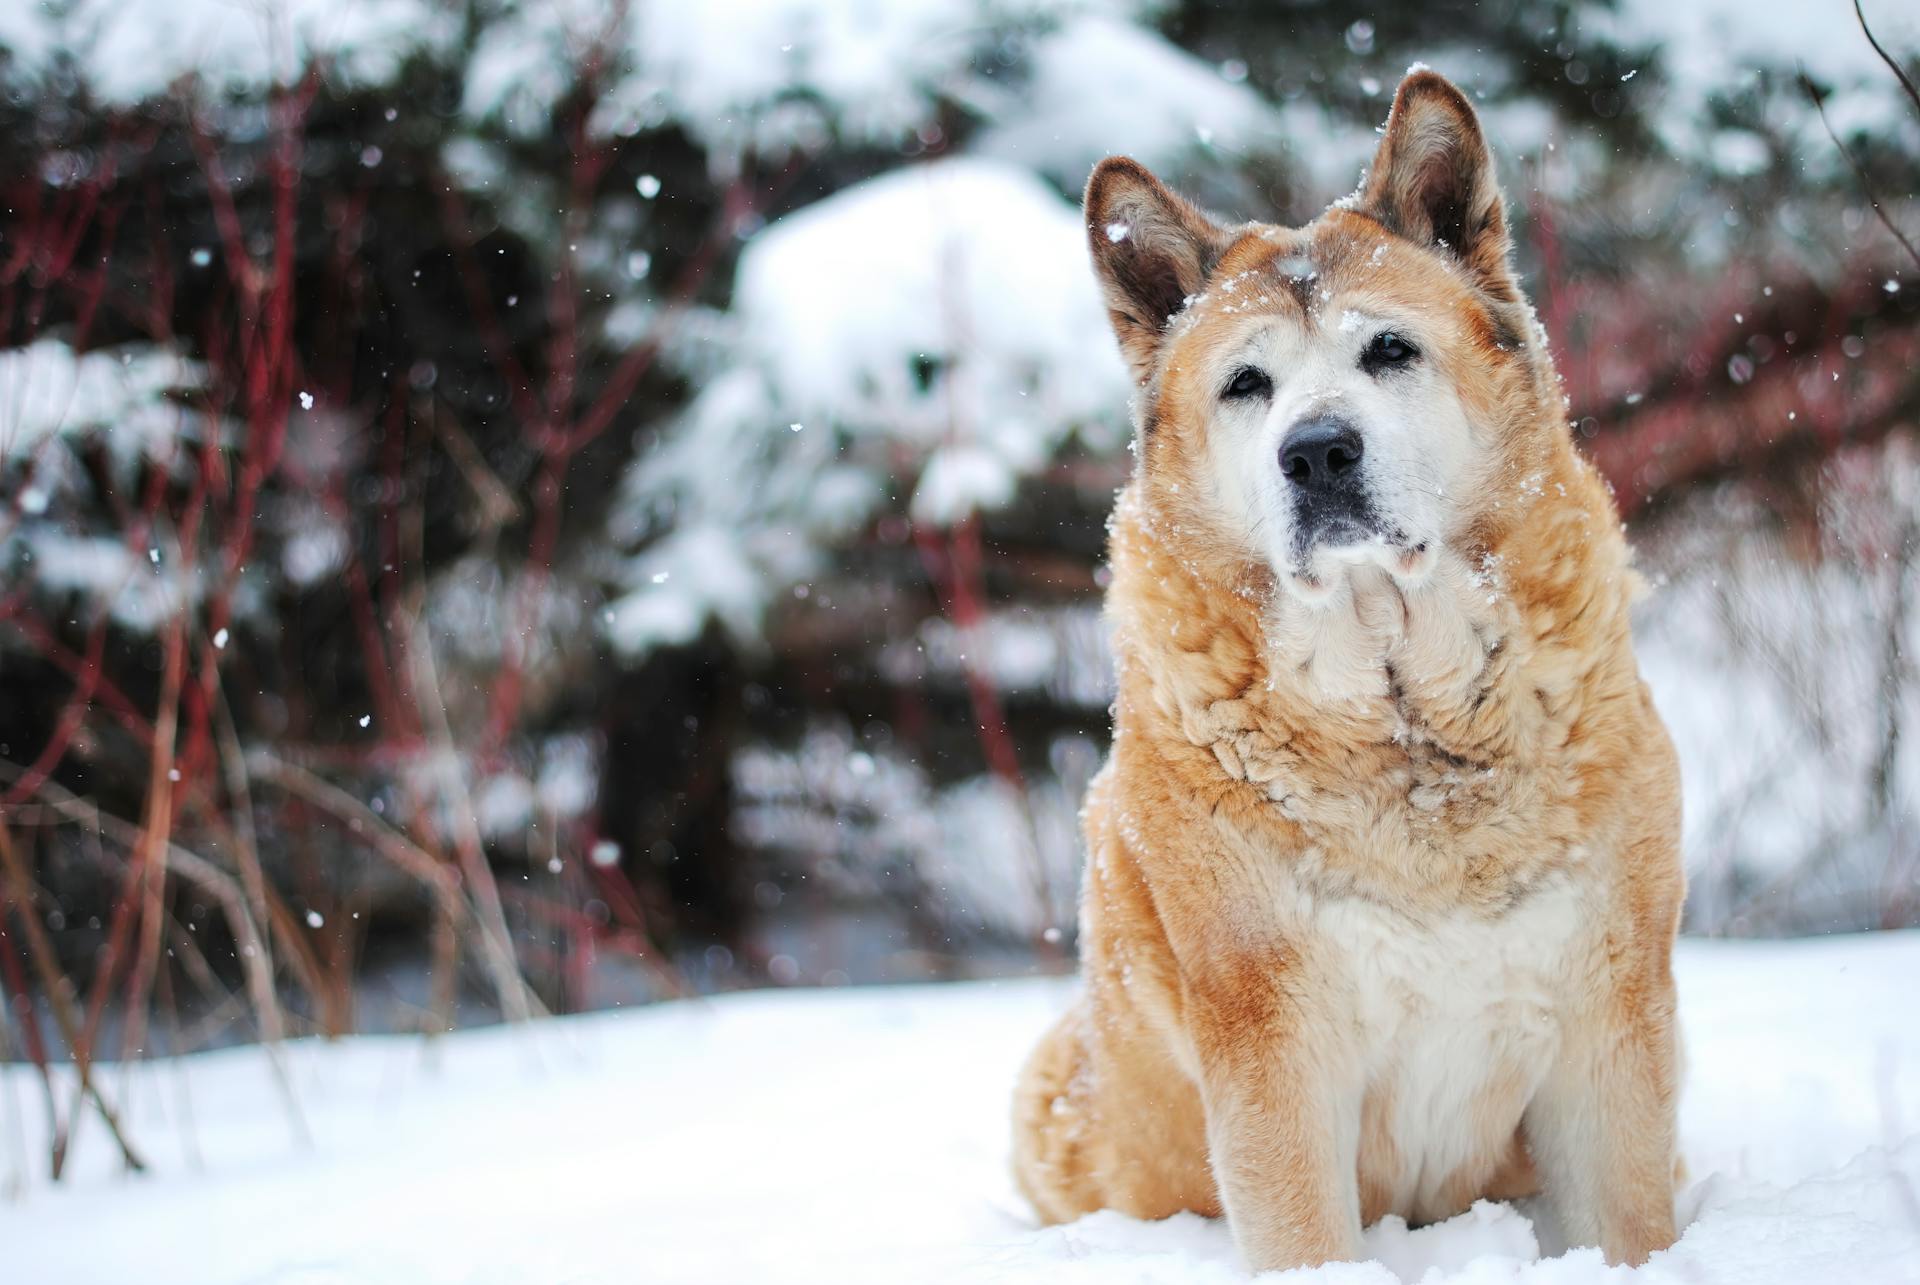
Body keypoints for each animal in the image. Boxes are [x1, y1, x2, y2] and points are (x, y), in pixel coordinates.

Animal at [1013, 65, 1689, 1267]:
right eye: (1246, 384)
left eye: (1389, 351)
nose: (1318, 451)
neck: (1404, 719)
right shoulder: (1274, 1044)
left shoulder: (1612, 1019)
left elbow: (1631, 1225)